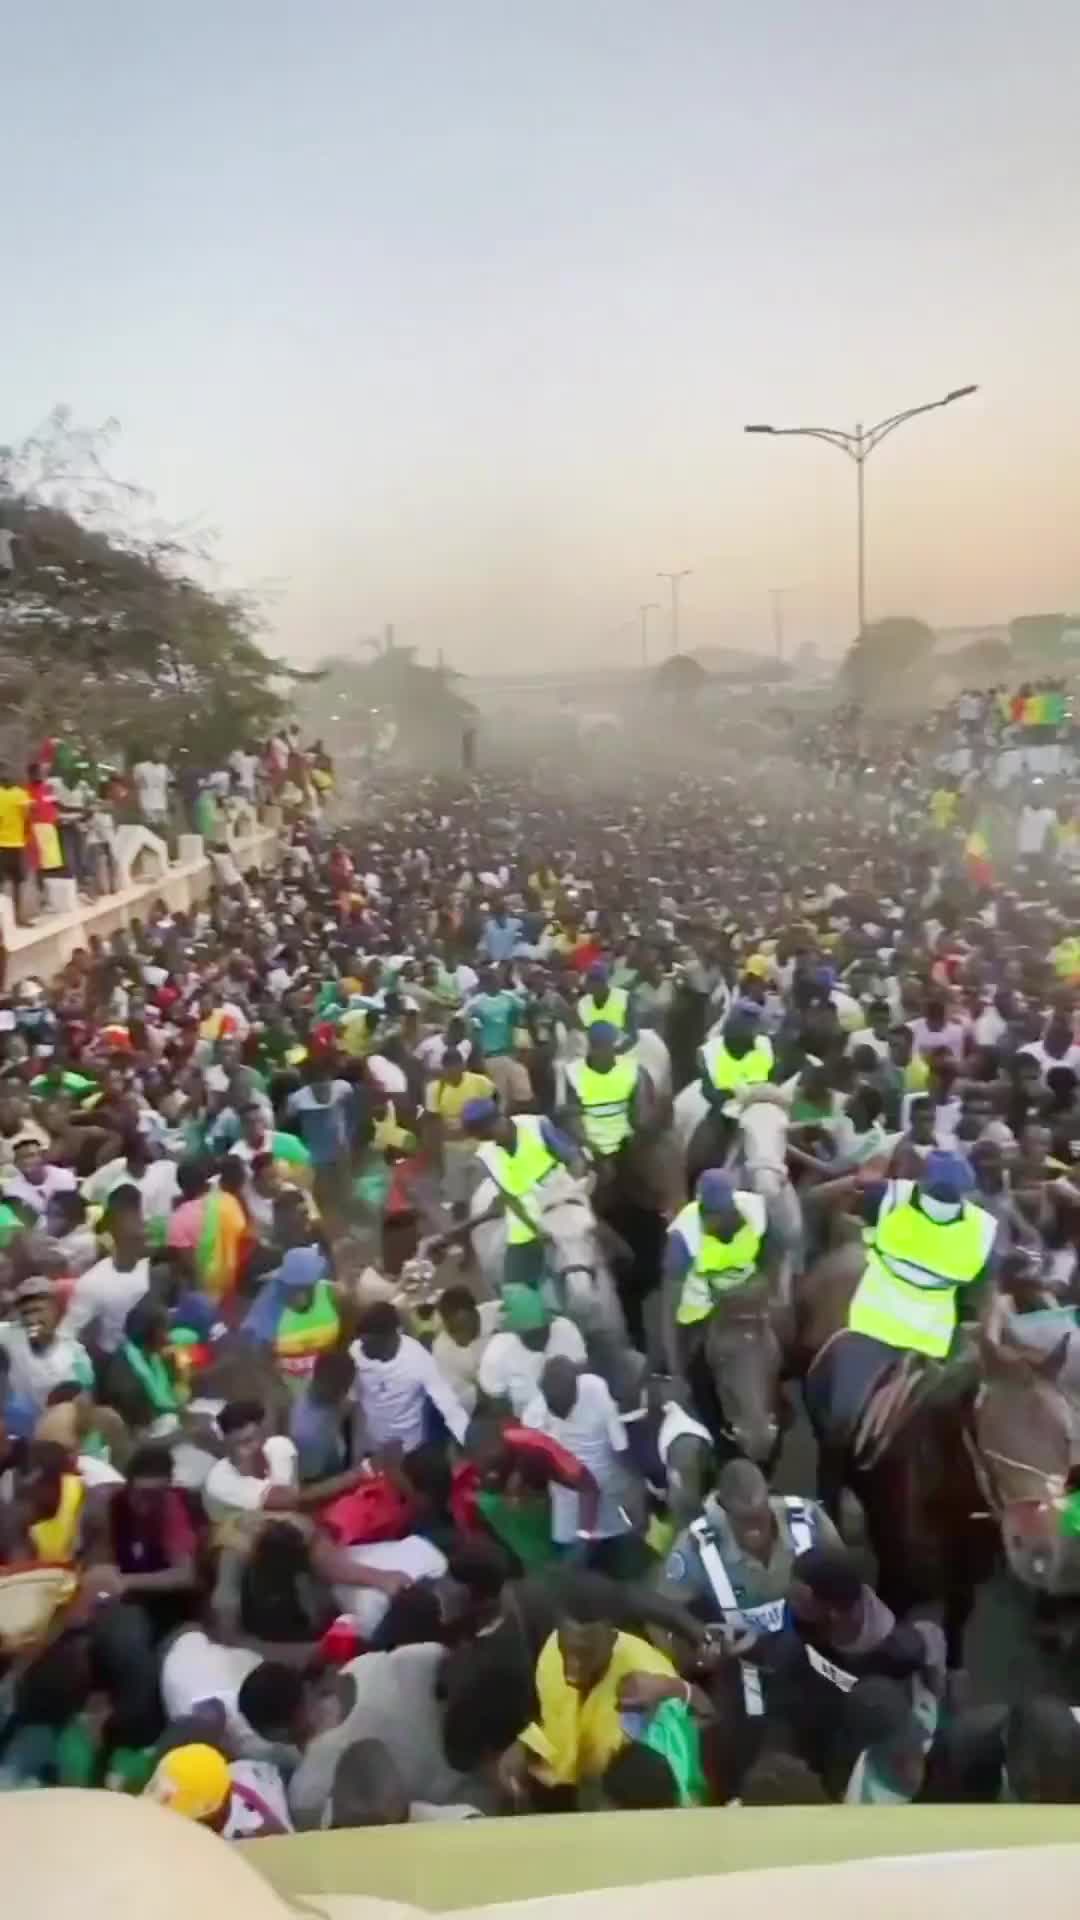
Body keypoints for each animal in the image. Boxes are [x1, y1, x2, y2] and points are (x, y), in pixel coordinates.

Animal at [791, 1244, 1068, 1666]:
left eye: (1066, 1435)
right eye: (988, 1432)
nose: (1039, 1553)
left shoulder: (964, 1584)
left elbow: (955, 1631)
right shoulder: (896, 1583)